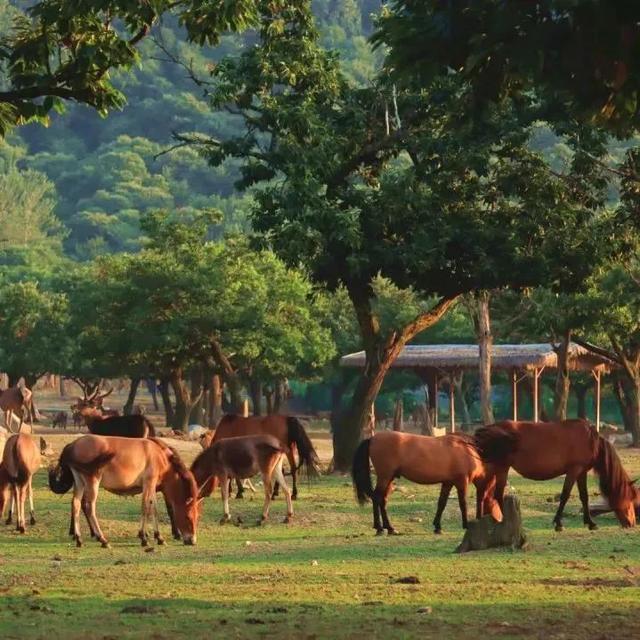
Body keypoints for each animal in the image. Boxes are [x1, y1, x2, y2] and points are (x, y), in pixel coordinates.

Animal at [48, 438, 200, 548]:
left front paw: (159, 537)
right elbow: (146, 507)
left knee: (76, 504)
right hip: (92, 482)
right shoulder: (148, 483)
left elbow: (154, 508)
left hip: (79, 482)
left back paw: (79, 539)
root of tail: (72, 446)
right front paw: (143, 537)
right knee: (89, 507)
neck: (160, 456)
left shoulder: (151, 486)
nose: (192, 540)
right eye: (188, 517)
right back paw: (102, 539)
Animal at [352, 430, 502, 536]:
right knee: (377, 498)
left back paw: (388, 528)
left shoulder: (447, 483)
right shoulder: (461, 482)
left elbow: (442, 503)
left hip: (389, 478)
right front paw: (465, 525)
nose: (497, 518)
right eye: (493, 487)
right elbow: (463, 504)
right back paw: (381, 528)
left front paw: (437, 527)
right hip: (385, 477)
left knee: (382, 500)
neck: (467, 450)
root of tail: (372, 438)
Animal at [476, 418, 640, 528]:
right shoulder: (574, 470)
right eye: (630, 498)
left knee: (485, 493)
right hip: (502, 468)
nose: (631, 523)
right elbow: (565, 495)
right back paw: (502, 520)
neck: (590, 441)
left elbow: (584, 497)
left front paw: (590, 522)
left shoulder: (581, 473)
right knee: (496, 493)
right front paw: (558, 523)